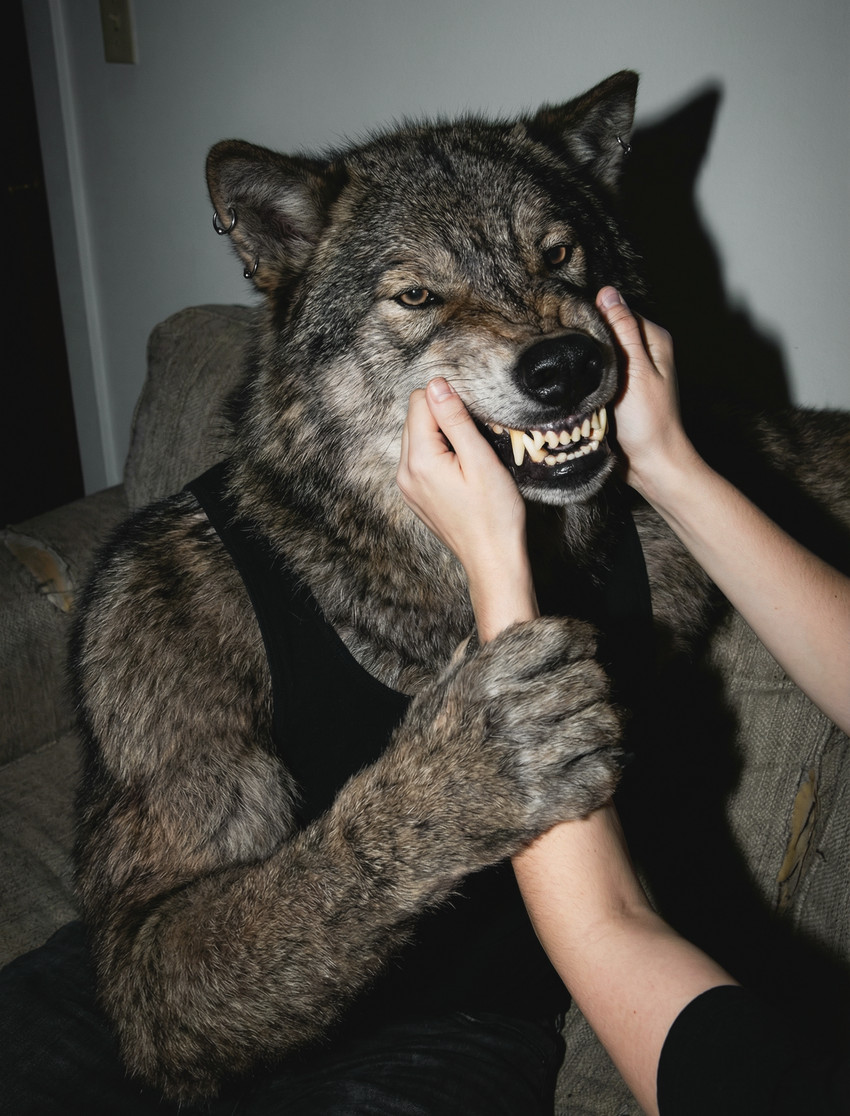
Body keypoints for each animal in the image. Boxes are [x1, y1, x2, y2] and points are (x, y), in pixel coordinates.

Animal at [70, 70, 850, 1105]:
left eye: (559, 255)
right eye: (417, 295)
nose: (566, 367)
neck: (408, 568)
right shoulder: (151, 615)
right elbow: (152, 943)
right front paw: (470, 767)